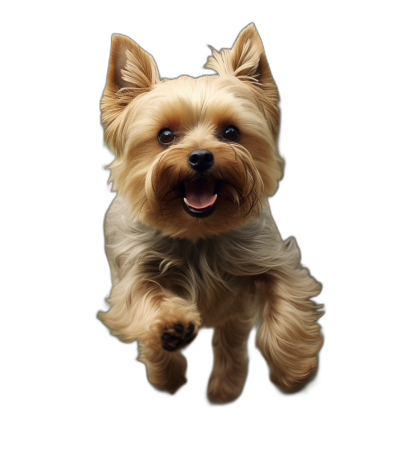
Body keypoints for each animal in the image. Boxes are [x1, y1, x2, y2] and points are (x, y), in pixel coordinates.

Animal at [98, 23, 324, 404]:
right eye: (165, 136)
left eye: (231, 132)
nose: (201, 156)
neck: (197, 233)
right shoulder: (133, 270)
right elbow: (146, 297)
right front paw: (171, 330)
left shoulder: (269, 257)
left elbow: (285, 302)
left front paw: (293, 370)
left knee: (230, 341)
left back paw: (224, 388)